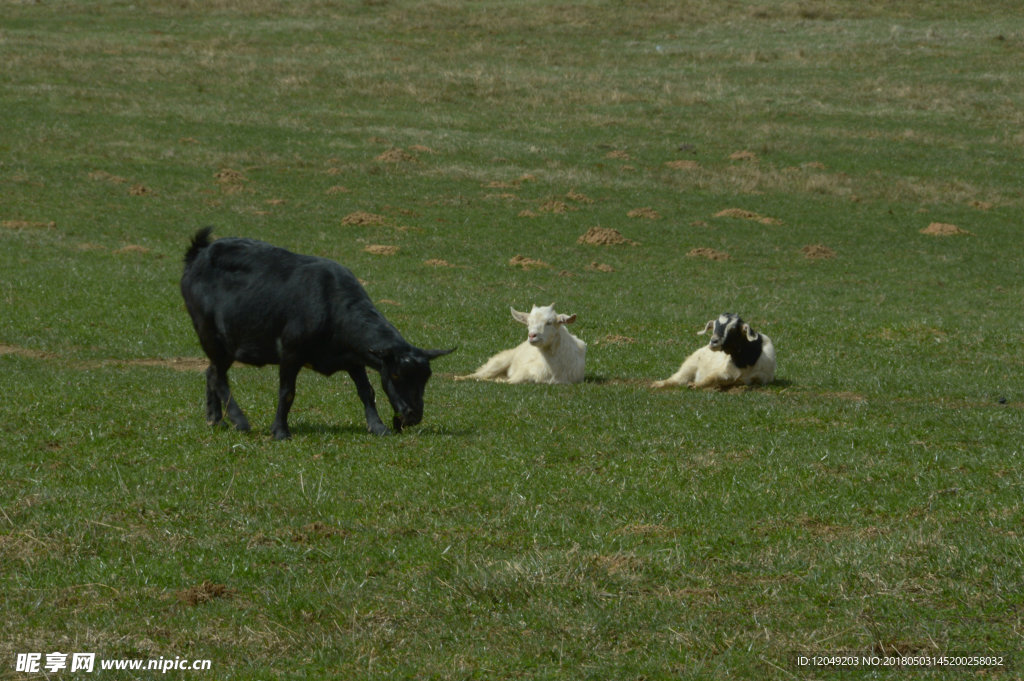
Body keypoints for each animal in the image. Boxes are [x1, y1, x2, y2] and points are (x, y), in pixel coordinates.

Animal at [182, 227, 454, 440]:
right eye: (396, 375)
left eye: (426, 378)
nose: (413, 415)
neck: (330, 304)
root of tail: (199, 254)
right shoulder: (290, 352)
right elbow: (287, 393)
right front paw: (280, 431)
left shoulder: (353, 358)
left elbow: (367, 392)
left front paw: (377, 427)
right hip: (212, 335)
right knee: (218, 376)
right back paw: (239, 420)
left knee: (211, 373)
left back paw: (216, 419)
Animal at [456, 305, 585, 385]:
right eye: (528, 323)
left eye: (549, 322)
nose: (532, 335)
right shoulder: (523, 371)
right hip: (499, 361)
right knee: (479, 374)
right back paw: (458, 378)